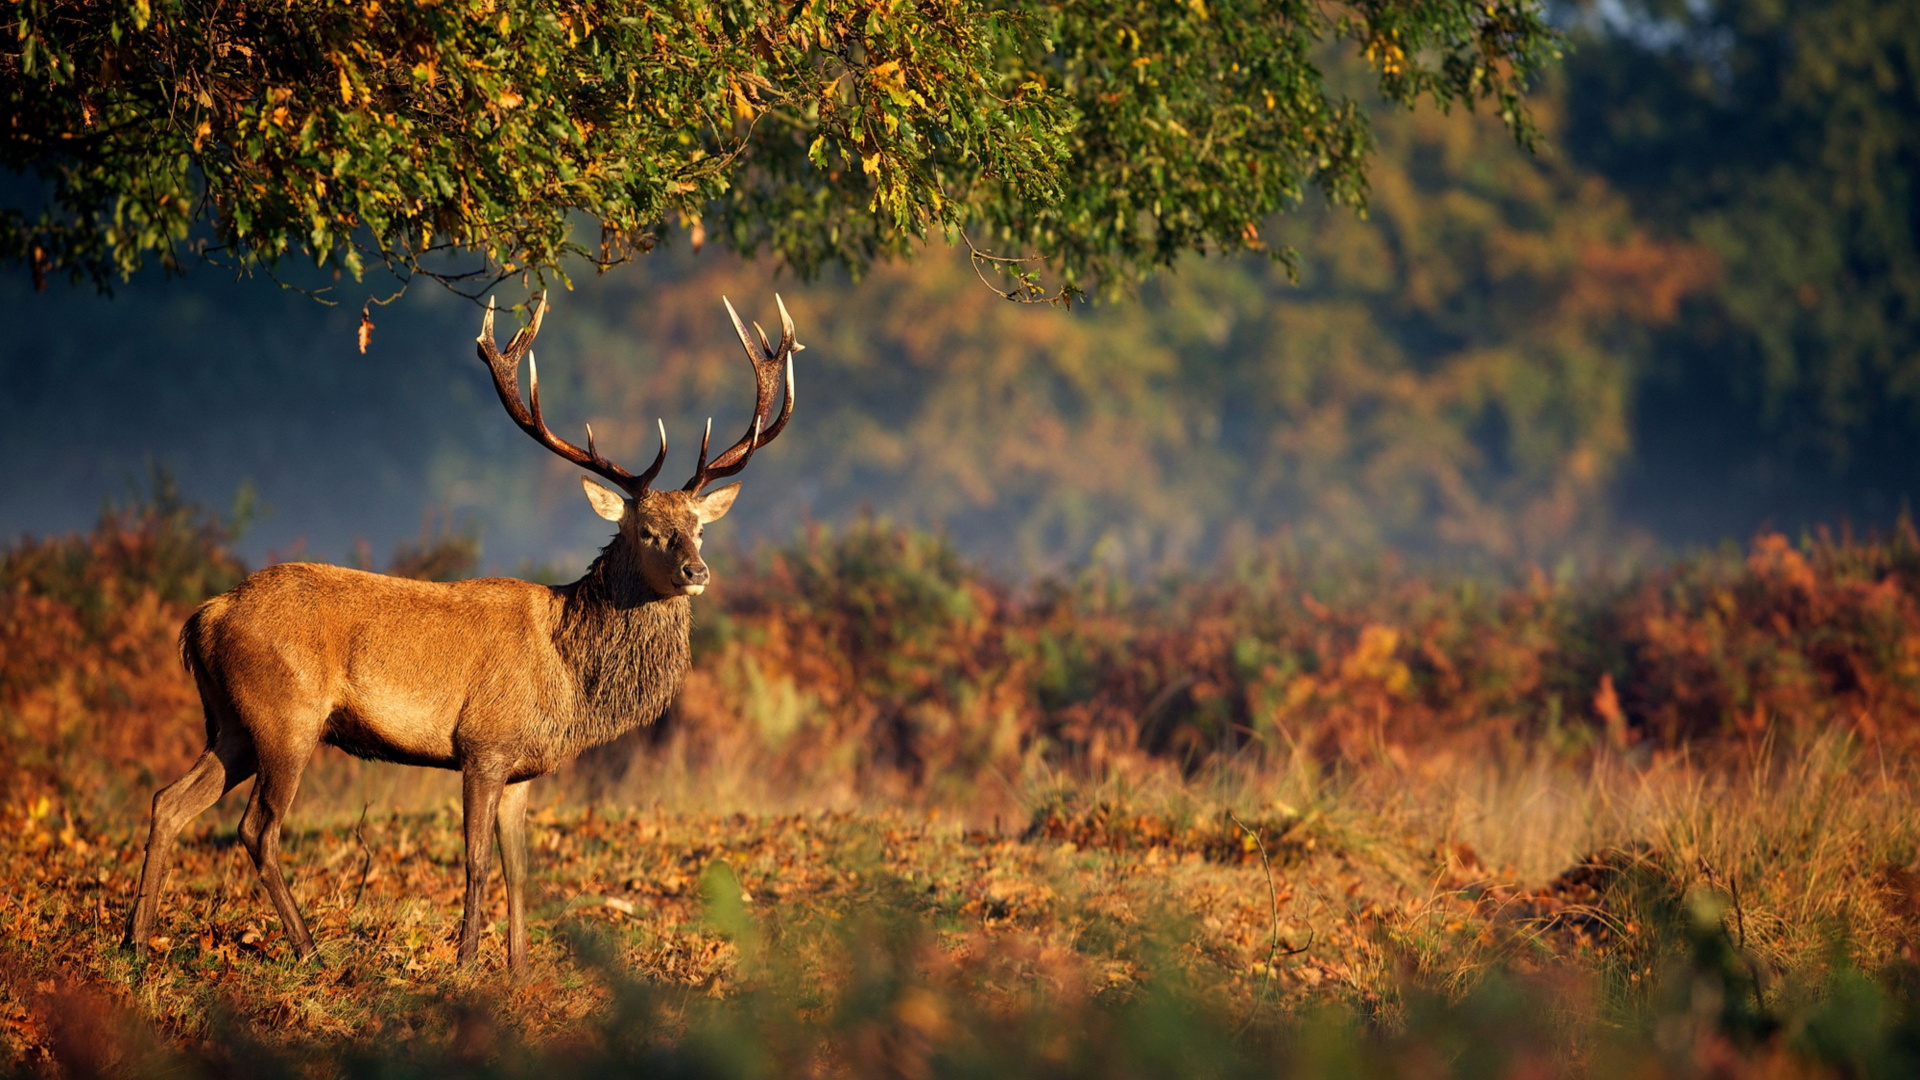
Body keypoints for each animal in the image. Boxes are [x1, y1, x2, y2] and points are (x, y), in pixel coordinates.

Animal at [120, 288, 798, 968]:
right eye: (648, 530)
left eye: (700, 528)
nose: (696, 570)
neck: (568, 677)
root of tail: (204, 618)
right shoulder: (482, 745)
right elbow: (474, 863)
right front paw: (468, 962)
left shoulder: (522, 768)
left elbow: (518, 869)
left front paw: (519, 969)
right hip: (286, 715)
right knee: (257, 829)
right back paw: (309, 949)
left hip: (232, 722)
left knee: (168, 802)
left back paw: (136, 942)